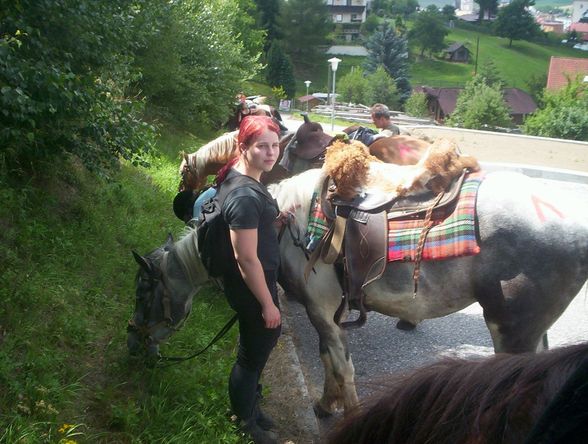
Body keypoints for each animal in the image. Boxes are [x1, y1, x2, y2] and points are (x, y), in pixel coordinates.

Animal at [127, 162, 588, 416]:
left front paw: (342, 411)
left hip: (512, 332)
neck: (284, 225)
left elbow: (342, 366)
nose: (135, 344)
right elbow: (329, 361)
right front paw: (324, 405)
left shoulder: (321, 309)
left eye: (143, 291)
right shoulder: (326, 314)